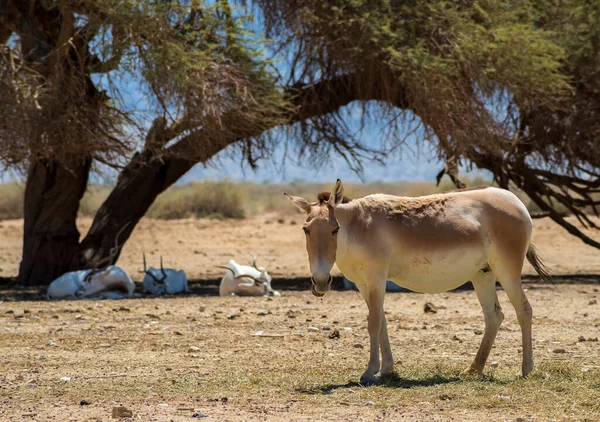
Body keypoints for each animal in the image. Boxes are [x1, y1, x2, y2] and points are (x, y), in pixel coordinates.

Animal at [284, 180, 552, 384]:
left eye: (334, 229)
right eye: (306, 229)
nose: (320, 282)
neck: (358, 229)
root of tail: (515, 201)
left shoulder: (376, 278)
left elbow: (373, 323)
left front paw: (370, 372)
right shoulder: (363, 283)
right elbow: (381, 321)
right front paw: (387, 369)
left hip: (507, 269)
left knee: (524, 310)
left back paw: (527, 369)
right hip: (482, 274)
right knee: (494, 316)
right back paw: (474, 368)